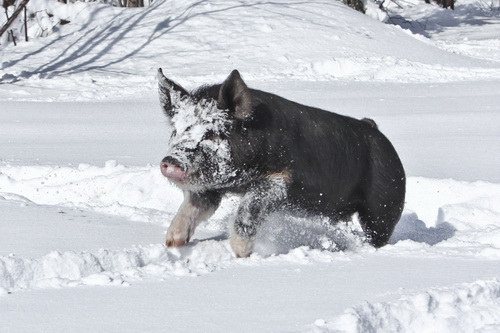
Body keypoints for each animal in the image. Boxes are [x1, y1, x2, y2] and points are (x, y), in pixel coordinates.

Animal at [158, 67, 404, 256]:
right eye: (176, 131)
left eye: (211, 134)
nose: (171, 161)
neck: (239, 181)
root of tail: (375, 129)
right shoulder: (209, 189)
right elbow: (191, 207)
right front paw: (172, 242)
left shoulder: (279, 179)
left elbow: (248, 207)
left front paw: (241, 253)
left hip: (385, 203)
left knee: (378, 233)